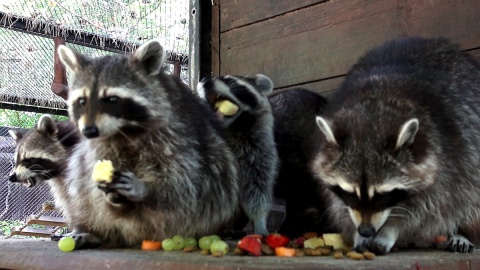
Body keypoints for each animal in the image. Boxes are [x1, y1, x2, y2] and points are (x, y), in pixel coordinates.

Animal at [57, 39, 240, 248]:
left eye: (112, 99)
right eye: (82, 101)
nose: (89, 131)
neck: (123, 130)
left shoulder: (178, 133)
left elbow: (186, 182)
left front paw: (146, 190)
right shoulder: (100, 146)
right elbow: (90, 171)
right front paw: (110, 196)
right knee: (79, 173)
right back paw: (95, 231)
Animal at [197, 75, 280, 235]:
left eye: (229, 80)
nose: (205, 80)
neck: (232, 127)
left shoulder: (260, 151)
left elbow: (258, 189)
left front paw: (260, 221)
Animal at [314, 37, 480, 254]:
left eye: (383, 195)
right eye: (350, 193)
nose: (366, 230)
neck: (374, 108)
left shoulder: (447, 159)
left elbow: (427, 209)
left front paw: (391, 230)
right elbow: (340, 206)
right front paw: (356, 231)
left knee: (468, 198)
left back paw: (463, 232)